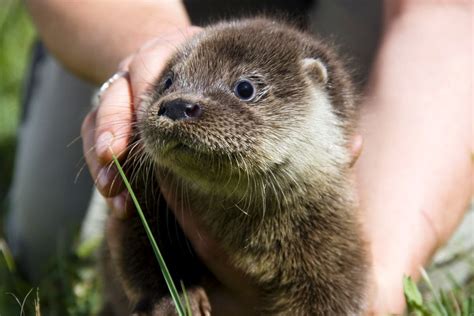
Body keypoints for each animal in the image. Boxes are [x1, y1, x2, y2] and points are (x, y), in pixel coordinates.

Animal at [103, 17, 370, 316]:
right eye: (168, 81)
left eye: (245, 88)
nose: (177, 105)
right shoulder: (145, 199)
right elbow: (142, 245)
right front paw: (173, 300)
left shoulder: (333, 241)